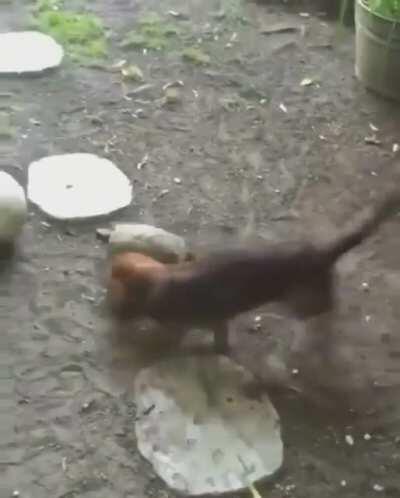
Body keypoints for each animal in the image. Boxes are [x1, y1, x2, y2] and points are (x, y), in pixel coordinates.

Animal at [106, 189, 400, 352]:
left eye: (115, 301)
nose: (110, 315)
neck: (162, 281)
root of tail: (318, 252)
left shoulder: (210, 320)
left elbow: (212, 340)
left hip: (303, 301)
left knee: (326, 306)